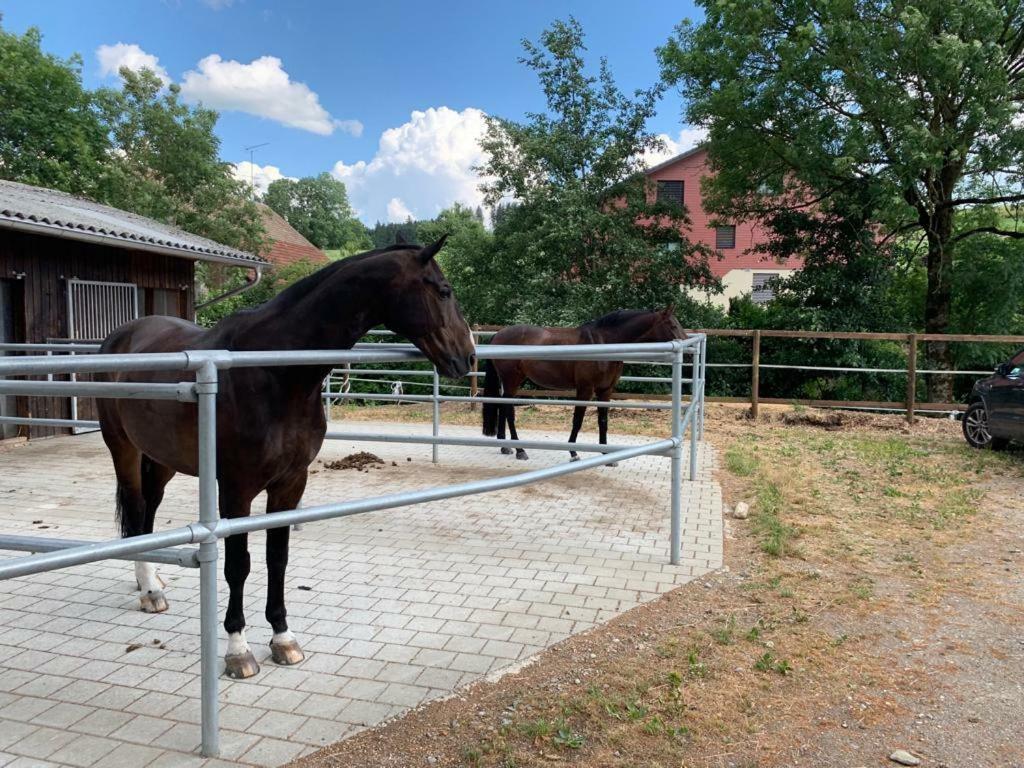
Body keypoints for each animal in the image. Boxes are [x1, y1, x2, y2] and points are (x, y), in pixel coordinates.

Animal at [99, 239, 475, 679]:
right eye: (444, 290)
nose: (468, 357)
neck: (276, 372)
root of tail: (121, 336)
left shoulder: (291, 483)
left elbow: (277, 558)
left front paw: (283, 638)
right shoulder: (236, 488)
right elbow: (238, 564)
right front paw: (238, 649)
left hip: (162, 458)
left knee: (150, 508)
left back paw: (152, 583)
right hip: (123, 448)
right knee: (136, 508)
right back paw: (149, 589)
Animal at [481, 309, 688, 462]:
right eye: (672, 325)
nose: (688, 348)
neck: (604, 343)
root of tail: (498, 335)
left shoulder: (606, 390)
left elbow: (603, 421)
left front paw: (606, 454)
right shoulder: (585, 389)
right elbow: (578, 419)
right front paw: (573, 452)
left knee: (502, 407)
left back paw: (505, 447)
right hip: (511, 380)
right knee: (509, 411)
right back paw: (520, 450)